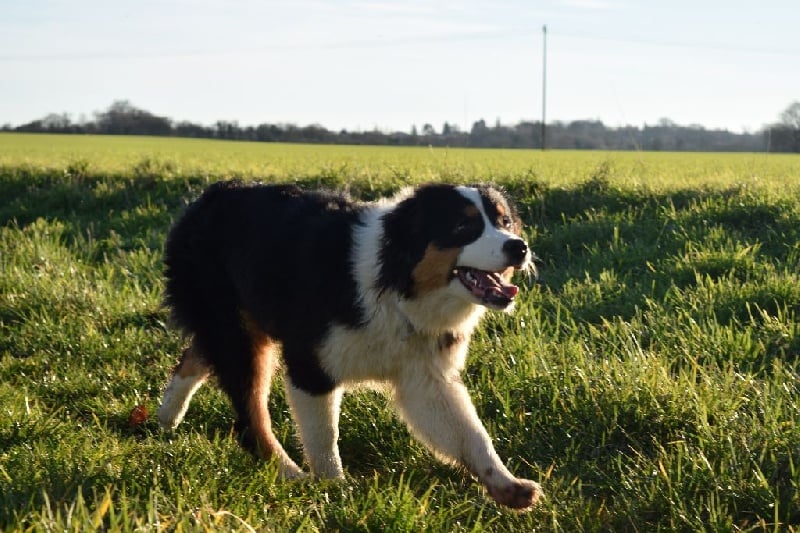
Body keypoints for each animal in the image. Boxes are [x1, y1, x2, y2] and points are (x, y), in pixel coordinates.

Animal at [156, 181, 542, 510]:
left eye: (505, 222)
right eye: (463, 227)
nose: (518, 246)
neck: (397, 286)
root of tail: (209, 196)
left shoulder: (425, 377)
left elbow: (471, 433)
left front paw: (508, 485)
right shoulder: (311, 364)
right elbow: (324, 435)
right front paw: (334, 490)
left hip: (241, 323)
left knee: (193, 358)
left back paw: (164, 419)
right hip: (235, 330)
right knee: (251, 416)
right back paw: (289, 473)